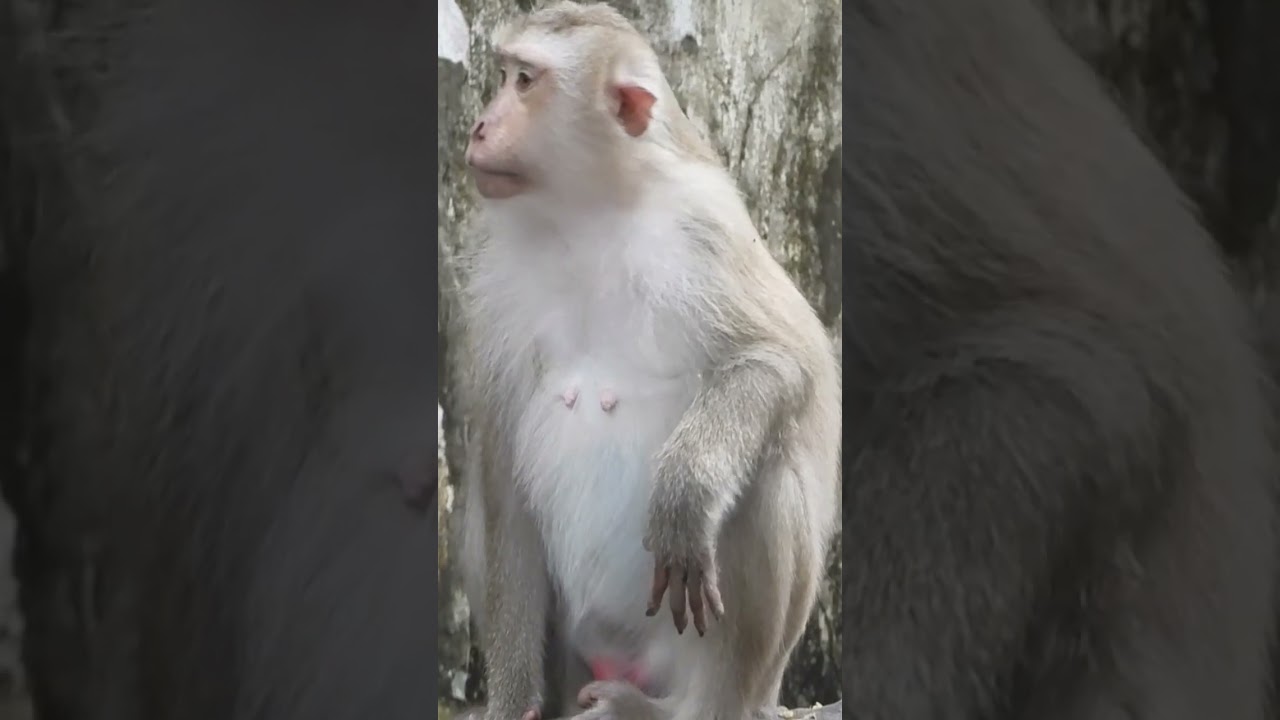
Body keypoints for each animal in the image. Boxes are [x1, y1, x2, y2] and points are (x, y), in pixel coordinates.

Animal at [456, 3, 841, 720]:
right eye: (504, 74)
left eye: (524, 81)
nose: (479, 125)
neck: (588, 213)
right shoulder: (496, 284)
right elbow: (502, 471)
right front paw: (512, 703)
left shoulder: (704, 230)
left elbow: (781, 358)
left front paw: (683, 493)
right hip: (575, 657)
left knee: (765, 467)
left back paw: (688, 709)